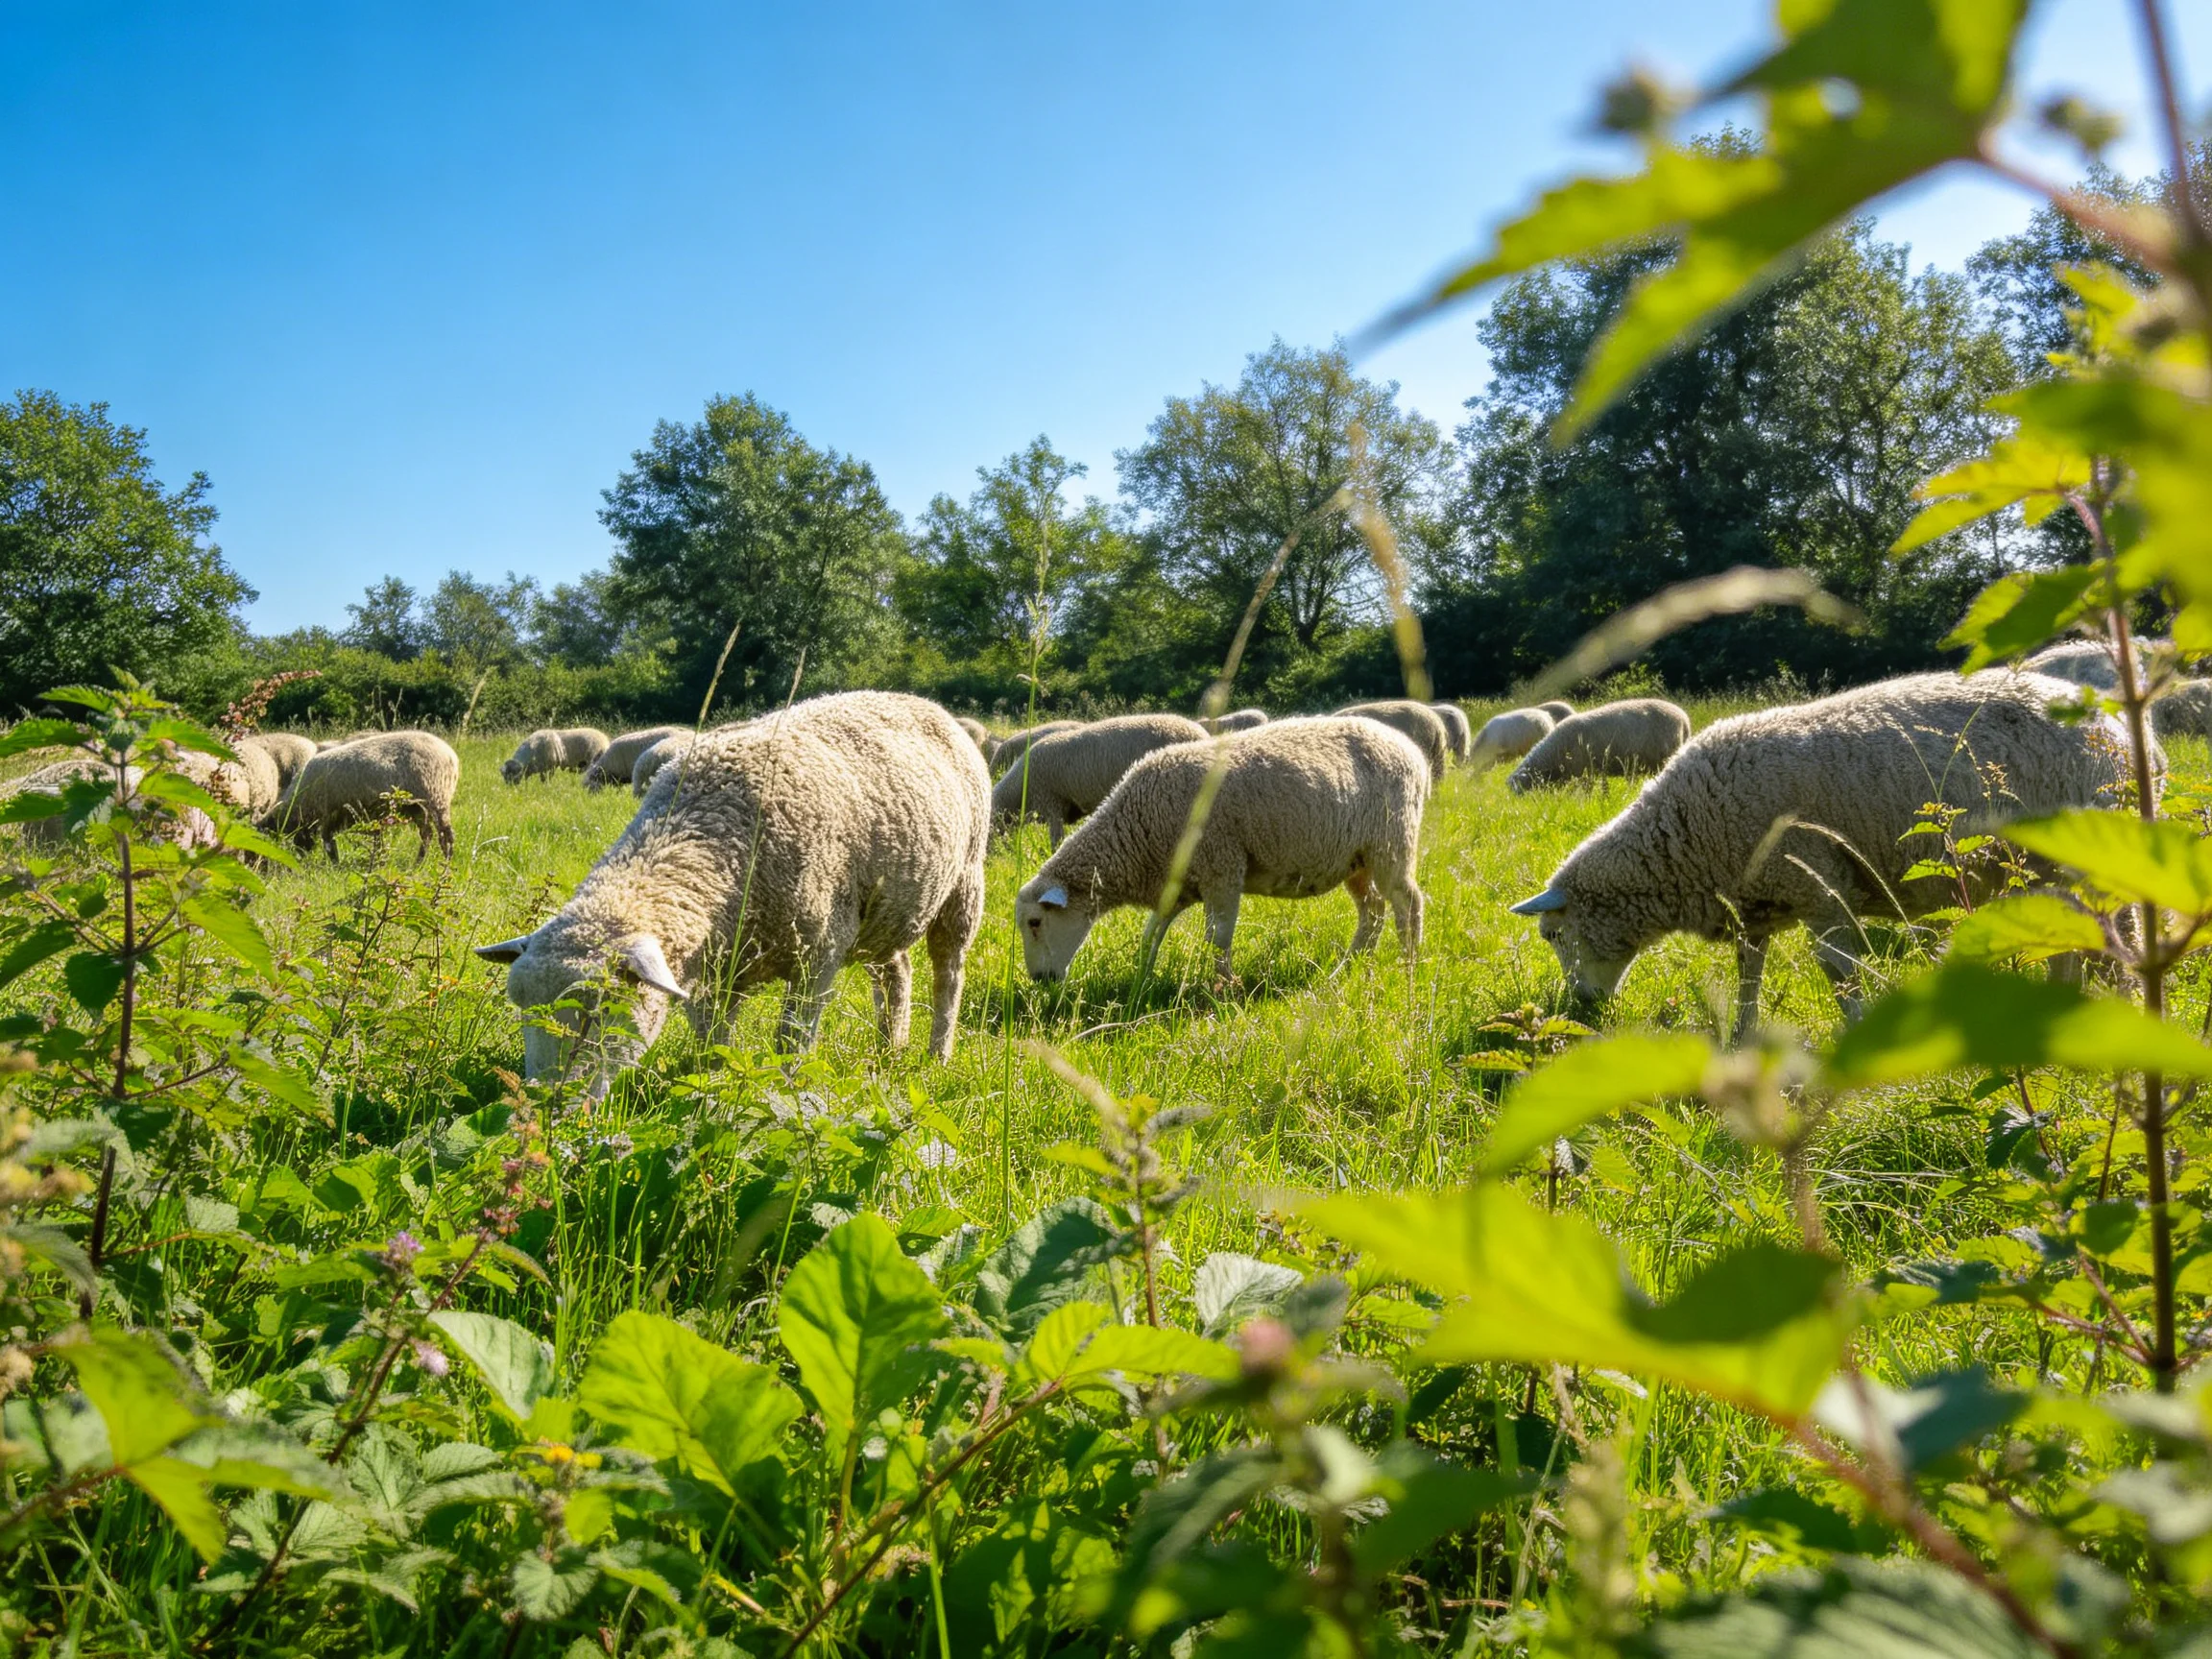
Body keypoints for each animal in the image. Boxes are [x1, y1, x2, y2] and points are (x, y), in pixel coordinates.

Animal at [267, 730, 460, 862]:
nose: (300, 858)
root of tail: (451, 755)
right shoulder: (337, 815)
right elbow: (332, 841)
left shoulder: (329, 812)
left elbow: (328, 842)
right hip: (416, 806)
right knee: (427, 834)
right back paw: (417, 864)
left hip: (435, 797)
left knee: (446, 836)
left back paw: (446, 862)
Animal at [474, 690, 990, 1082]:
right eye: (522, 1013)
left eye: (599, 1012)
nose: (545, 1101)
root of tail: (919, 700)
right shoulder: (712, 970)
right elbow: (712, 1040)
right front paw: (710, 1085)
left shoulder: (818, 955)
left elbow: (791, 1041)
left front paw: (785, 1092)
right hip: (890, 907)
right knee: (896, 971)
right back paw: (889, 1048)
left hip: (963, 884)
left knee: (948, 975)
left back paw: (936, 1055)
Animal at [1016, 717, 1429, 984]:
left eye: (1035, 922)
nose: (1040, 981)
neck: (1138, 832)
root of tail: (1412, 751)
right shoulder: (1177, 885)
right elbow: (1152, 935)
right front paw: (1141, 984)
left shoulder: (1222, 868)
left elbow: (1218, 939)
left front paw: (1223, 992)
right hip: (1356, 859)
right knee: (1372, 910)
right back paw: (1347, 969)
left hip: (1392, 842)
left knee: (1407, 903)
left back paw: (1408, 968)